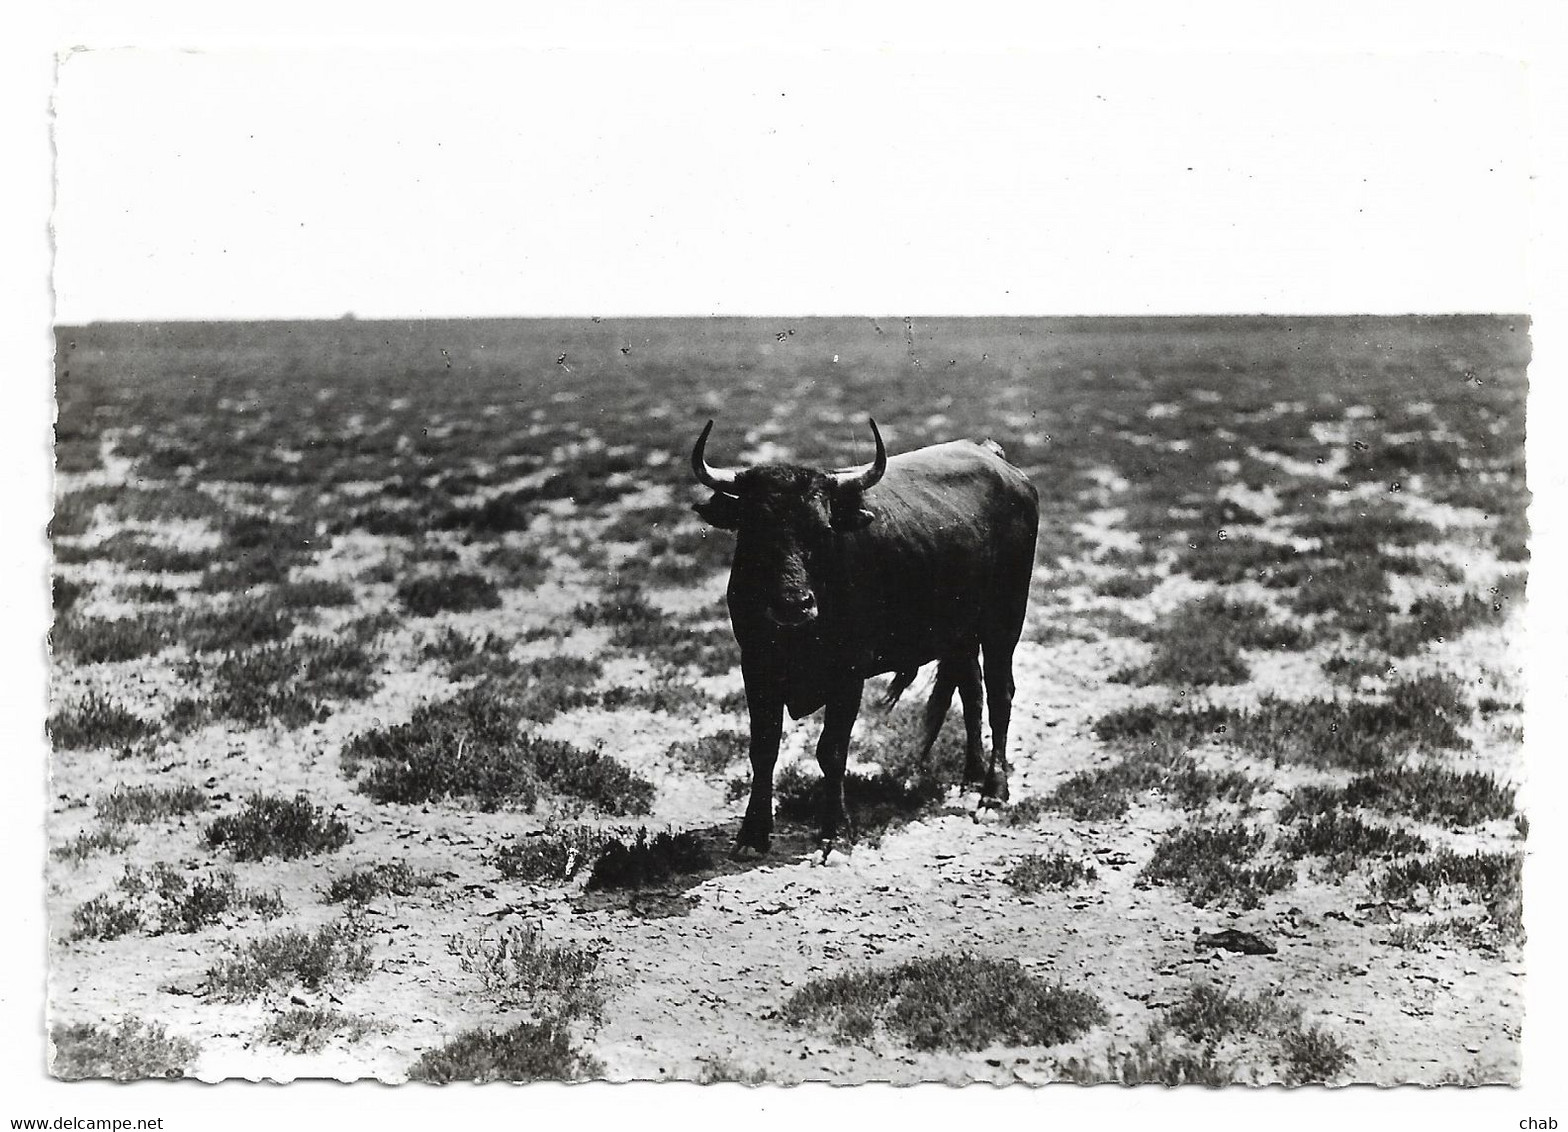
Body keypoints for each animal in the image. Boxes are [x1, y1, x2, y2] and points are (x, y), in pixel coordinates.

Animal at [689, 420, 1041, 852]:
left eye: (821, 528)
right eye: (754, 530)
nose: (793, 604)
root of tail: (994, 458)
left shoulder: (849, 672)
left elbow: (832, 750)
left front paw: (835, 832)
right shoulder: (756, 666)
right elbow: (764, 748)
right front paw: (753, 833)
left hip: (1003, 623)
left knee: (999, 695)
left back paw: (993, 792)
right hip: (961, 633)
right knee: (971, 692)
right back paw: (970, 776)